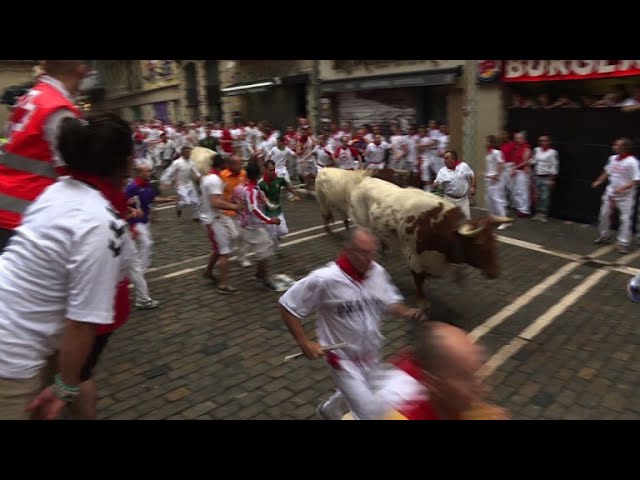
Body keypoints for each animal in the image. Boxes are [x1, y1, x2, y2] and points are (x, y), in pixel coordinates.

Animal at [348, 178, 512, 306]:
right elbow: (418, 278)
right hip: (361, 224)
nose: (496, 272)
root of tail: (366, 180)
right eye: (479, 244)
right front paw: (422, 301)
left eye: (494, 240)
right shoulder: (412, 255)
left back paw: (386, 250)